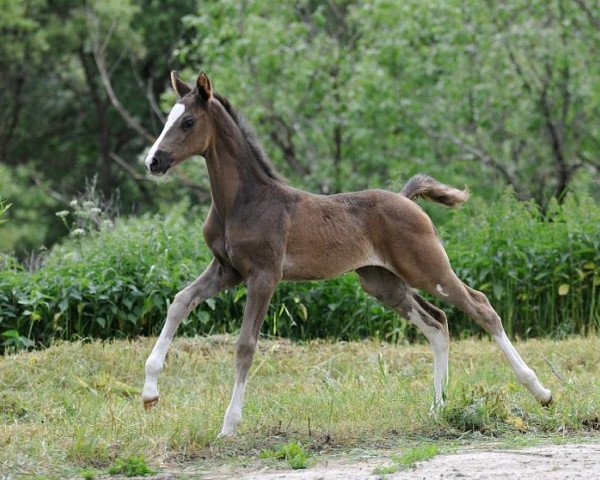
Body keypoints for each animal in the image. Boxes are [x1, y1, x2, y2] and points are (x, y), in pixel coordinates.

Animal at [141, 69, 552, 436]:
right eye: (168, 119)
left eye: (188, 121)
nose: (153, 161)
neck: (243, 202)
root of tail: (407, 198)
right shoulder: (227, 269)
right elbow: (180, 301)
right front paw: (149, 393)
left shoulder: (264, 275)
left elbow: (245, 345)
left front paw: (229, 425)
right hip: (382, 282)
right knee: (437, 322)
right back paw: (438, 409)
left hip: (427, 269)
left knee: (481, 306)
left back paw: (541, 391)